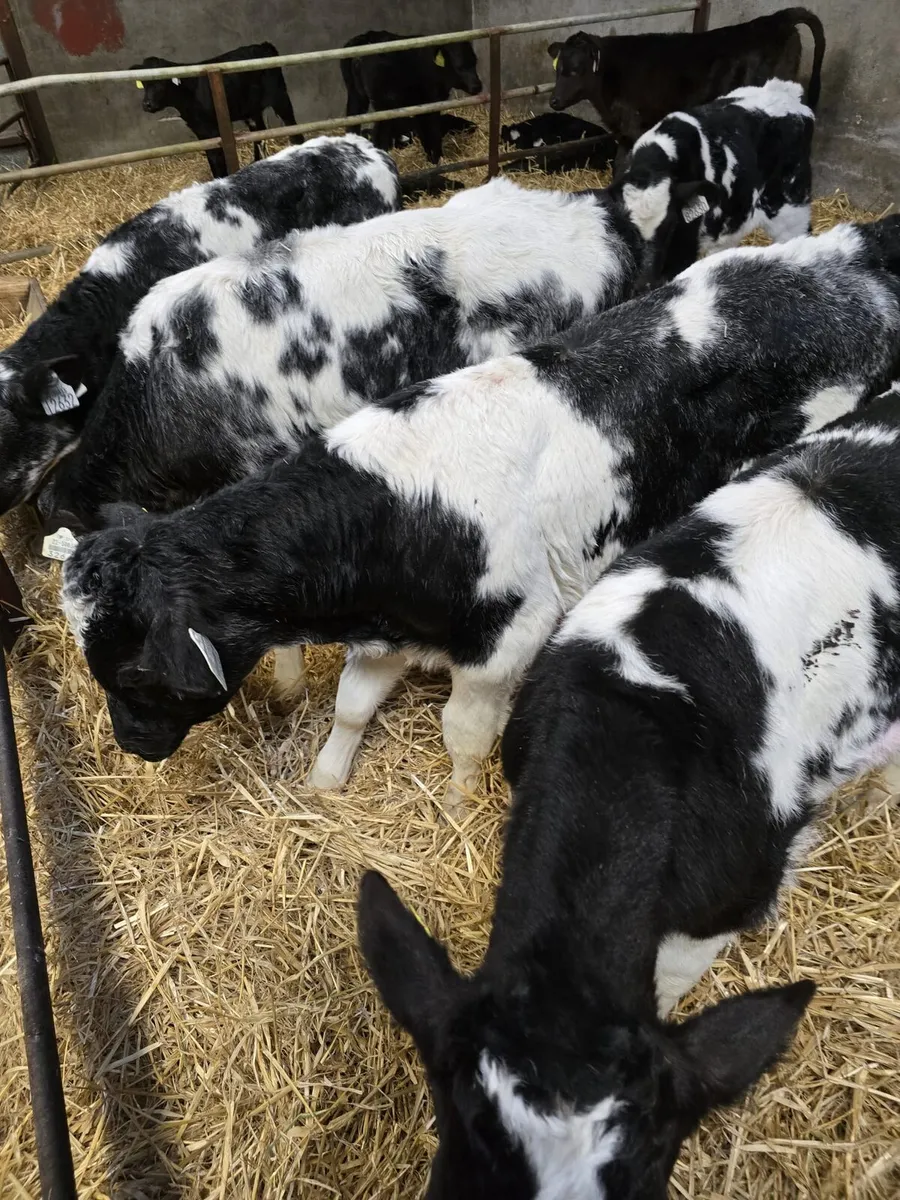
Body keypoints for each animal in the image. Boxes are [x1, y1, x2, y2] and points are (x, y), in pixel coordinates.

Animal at [60, 219, 900, 815]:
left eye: (133, 672)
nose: (133, 748)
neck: (398, 514)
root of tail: (848, 258)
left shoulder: (508, 640)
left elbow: (462, 735)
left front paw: (461, 805)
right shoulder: (386, 633)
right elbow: (352, 708)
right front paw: (327, 781)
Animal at [132, 42, 298, 178]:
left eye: (160, 83)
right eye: (144, 84)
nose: (147, 104)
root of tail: (263, 45)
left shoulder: (212, 129)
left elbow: (217, 160)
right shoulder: (200, 129)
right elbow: (211, 158)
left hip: (279, 96)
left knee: (291, 123)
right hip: (251, 109)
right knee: (259, 133)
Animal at [341, 30, 482, 163]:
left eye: (475, 62)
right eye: (459, 67)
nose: (477, 86)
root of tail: (367, 37)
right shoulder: (430, 103)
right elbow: (431, 132)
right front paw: (436, 159)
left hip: (356, 96)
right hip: (385, 105)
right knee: (379, 137)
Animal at [548, 7, 825, 158]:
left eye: (575, 70)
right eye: (557, 70)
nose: (553, 100)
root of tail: (777, 19)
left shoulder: (636, 126)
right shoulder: (624, 133)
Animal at [611, 78, 814, 289]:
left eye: (670, 225)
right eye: (629, 229)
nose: (645, 281)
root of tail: (786, 91)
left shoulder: (684, 248)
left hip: (792, 209)